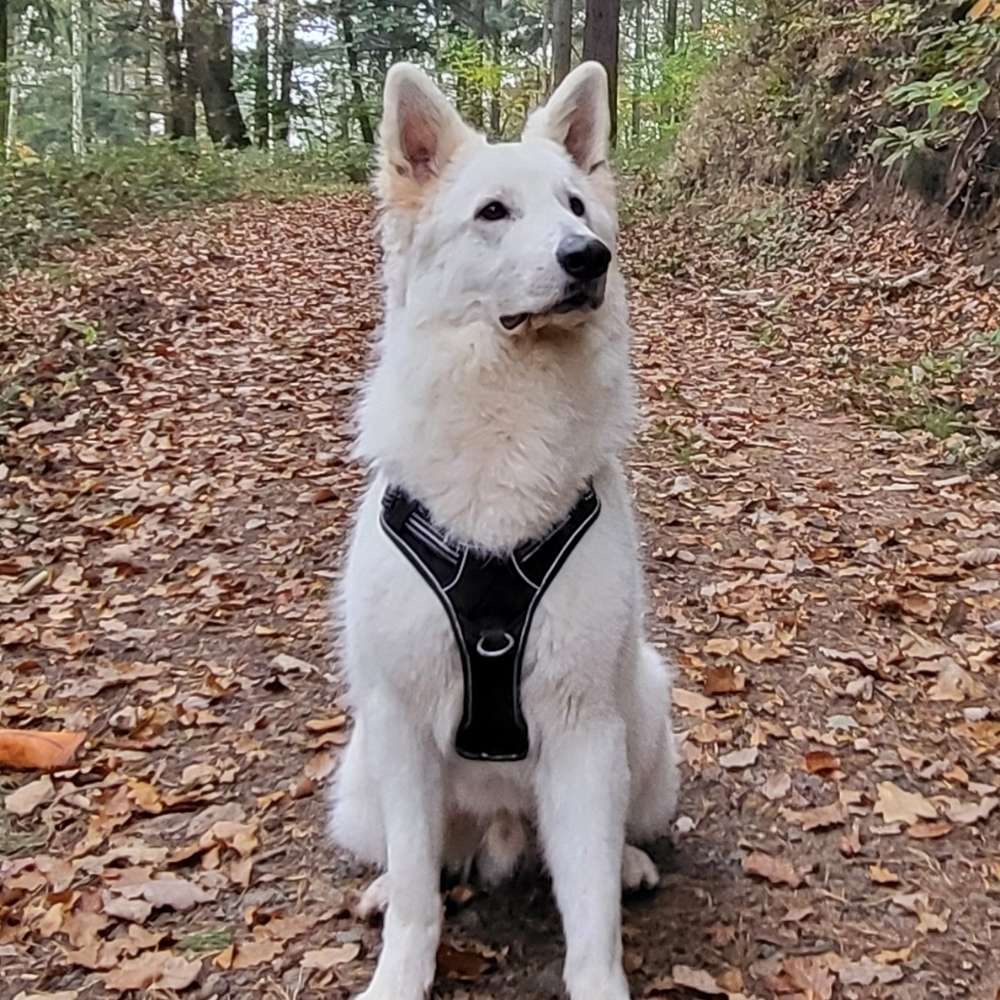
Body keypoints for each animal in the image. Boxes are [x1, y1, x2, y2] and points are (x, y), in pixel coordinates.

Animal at [332, 60, 676, 1000]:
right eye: (494, 212)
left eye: (577, 207)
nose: (588, 257)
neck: (510, 410)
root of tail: (500, 825)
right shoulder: (404, 721)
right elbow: (421, 891)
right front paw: (400, 973)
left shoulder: (584, 727)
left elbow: (590, 914)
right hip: (363, 765)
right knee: (412, 854)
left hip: (646, 711)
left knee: (609, 841)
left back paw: (630, 861)